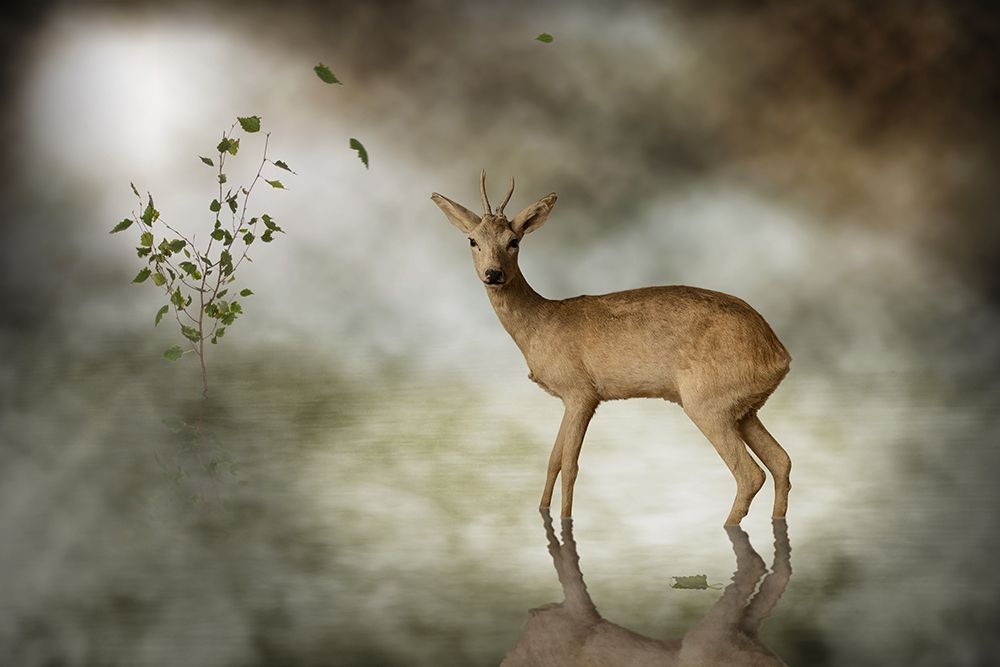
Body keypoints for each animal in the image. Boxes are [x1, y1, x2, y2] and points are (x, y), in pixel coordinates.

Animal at [431, 171, 792, 525]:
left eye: (513, 241)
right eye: (473, 240)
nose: (493, 274)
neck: (542, 323)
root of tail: (779, 353)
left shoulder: (582, 394)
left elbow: (570, 465)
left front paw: (566, 520)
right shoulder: (568, 399)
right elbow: (553, 459)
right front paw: (542, 512)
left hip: (706, 404)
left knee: (750, 474)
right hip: (743, 410)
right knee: (781, 461)